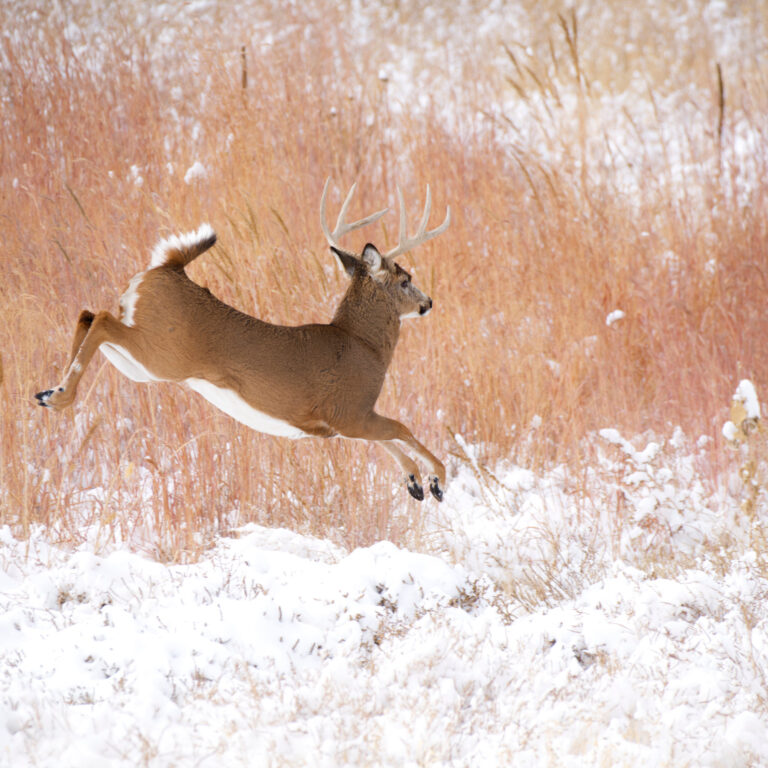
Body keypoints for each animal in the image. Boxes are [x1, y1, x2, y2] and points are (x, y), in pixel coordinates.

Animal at [35, 179, 451, 501]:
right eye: (405, 280)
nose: (429, 302)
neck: (363, 345)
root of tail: (168, 267)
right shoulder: (349, 411)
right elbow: (401, 429)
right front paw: (437, 479)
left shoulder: (348, 421)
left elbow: (389, 440)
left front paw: (415, 483)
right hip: (162, 355)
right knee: (101, 319)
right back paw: (60, 396)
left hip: (142, 363)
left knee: (88, 315)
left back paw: (49, 392)